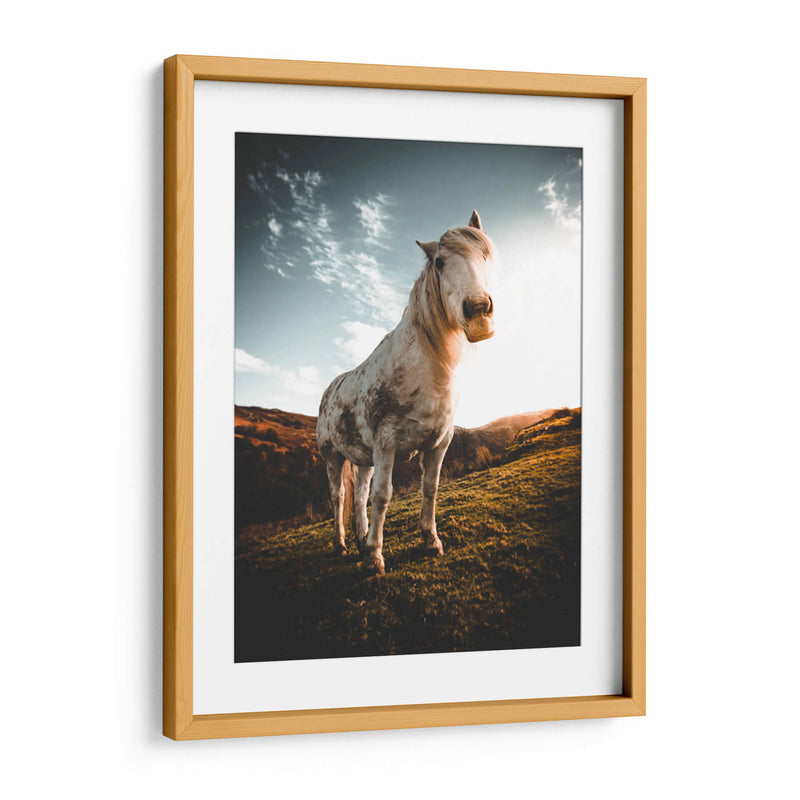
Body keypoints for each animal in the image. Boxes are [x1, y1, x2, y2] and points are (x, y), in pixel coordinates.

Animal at [316, 210, 496, 575]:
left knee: (359, 496)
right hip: (332, 456)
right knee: (338, 496)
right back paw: (343, 544)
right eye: (440, 262)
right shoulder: (387, 443)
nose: (478, 311)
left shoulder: (439, 442)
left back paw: (360, 539)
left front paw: (431, 541)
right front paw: (375, 558)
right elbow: (383, 496)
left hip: (363, 458)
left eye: (485, 255)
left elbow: (430, 487)